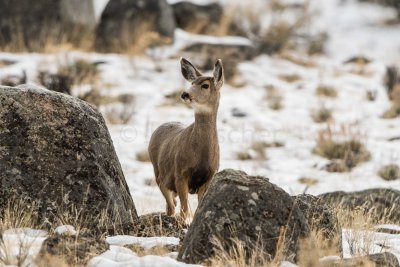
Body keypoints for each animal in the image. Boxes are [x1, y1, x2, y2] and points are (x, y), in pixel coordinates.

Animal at [148, 57, 223, 221]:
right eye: (192, 83)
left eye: (205, 85)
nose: (185, 94)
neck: (202, 155)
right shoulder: (180, 174)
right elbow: (184, 210)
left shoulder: (209, 177)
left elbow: (197, 208)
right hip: (158, 172)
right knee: (170, 206)